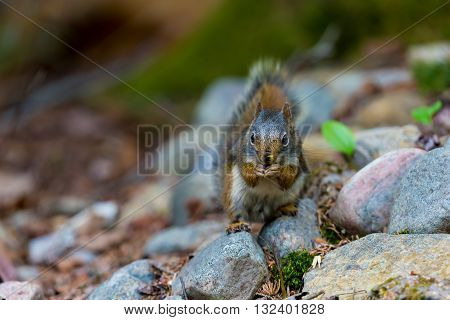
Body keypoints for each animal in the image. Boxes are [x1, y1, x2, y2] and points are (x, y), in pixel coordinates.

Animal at [215, 59, 310, 232]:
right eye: (252, 137)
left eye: (285, 139)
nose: (266, 159)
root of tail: (257, 216)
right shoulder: (241, 154)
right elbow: (247, 175)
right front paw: (256, 170)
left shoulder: (297, 157)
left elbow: (289, 177)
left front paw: (278, 170)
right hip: (233, 196)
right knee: (235, 214)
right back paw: (236, 224)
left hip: (290, 194)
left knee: (273, 212)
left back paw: (285, 208)